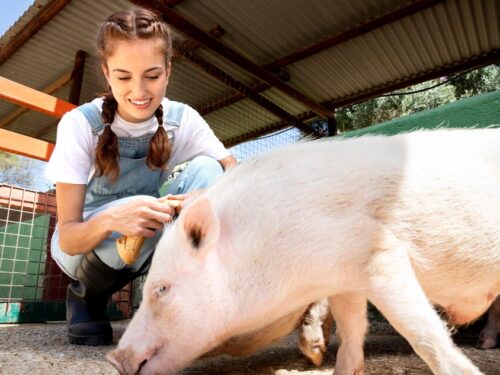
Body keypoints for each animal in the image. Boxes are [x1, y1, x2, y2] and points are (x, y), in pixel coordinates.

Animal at [107, 129, 498, 375]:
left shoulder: (377, 254)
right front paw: (335, 366)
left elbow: (421, 331)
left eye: (161, 288)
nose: (114, 359)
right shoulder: (345, 278)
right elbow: (352, 326)